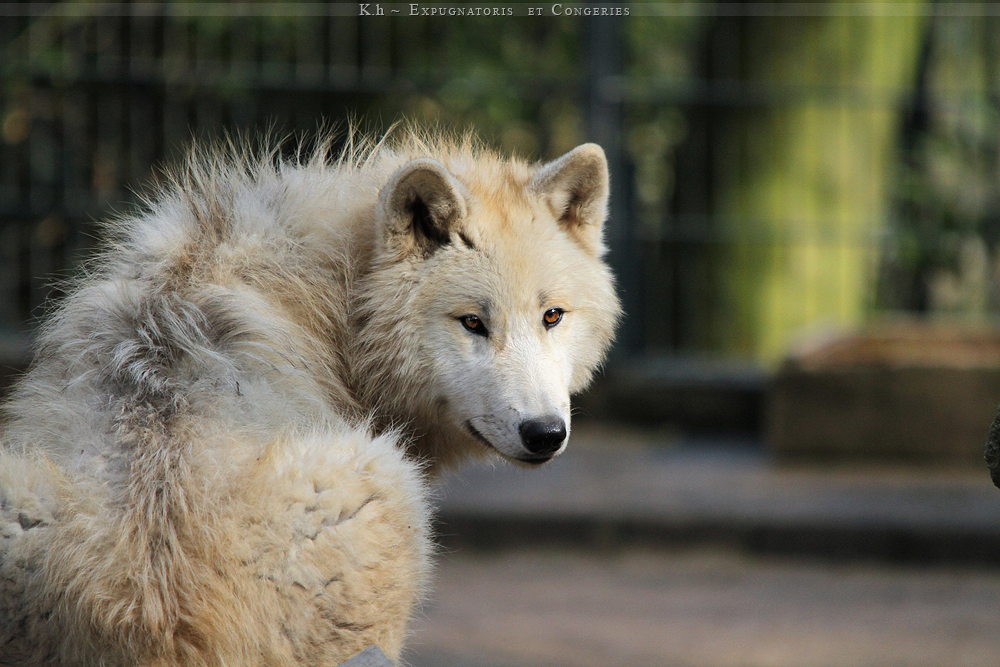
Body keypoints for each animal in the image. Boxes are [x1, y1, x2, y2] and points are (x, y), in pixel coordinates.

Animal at [0, 128, 616, 664]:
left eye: (552, 316)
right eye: (472, 323)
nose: (544, 433)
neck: (338, 290)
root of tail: (156, 617)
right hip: (391, 482)